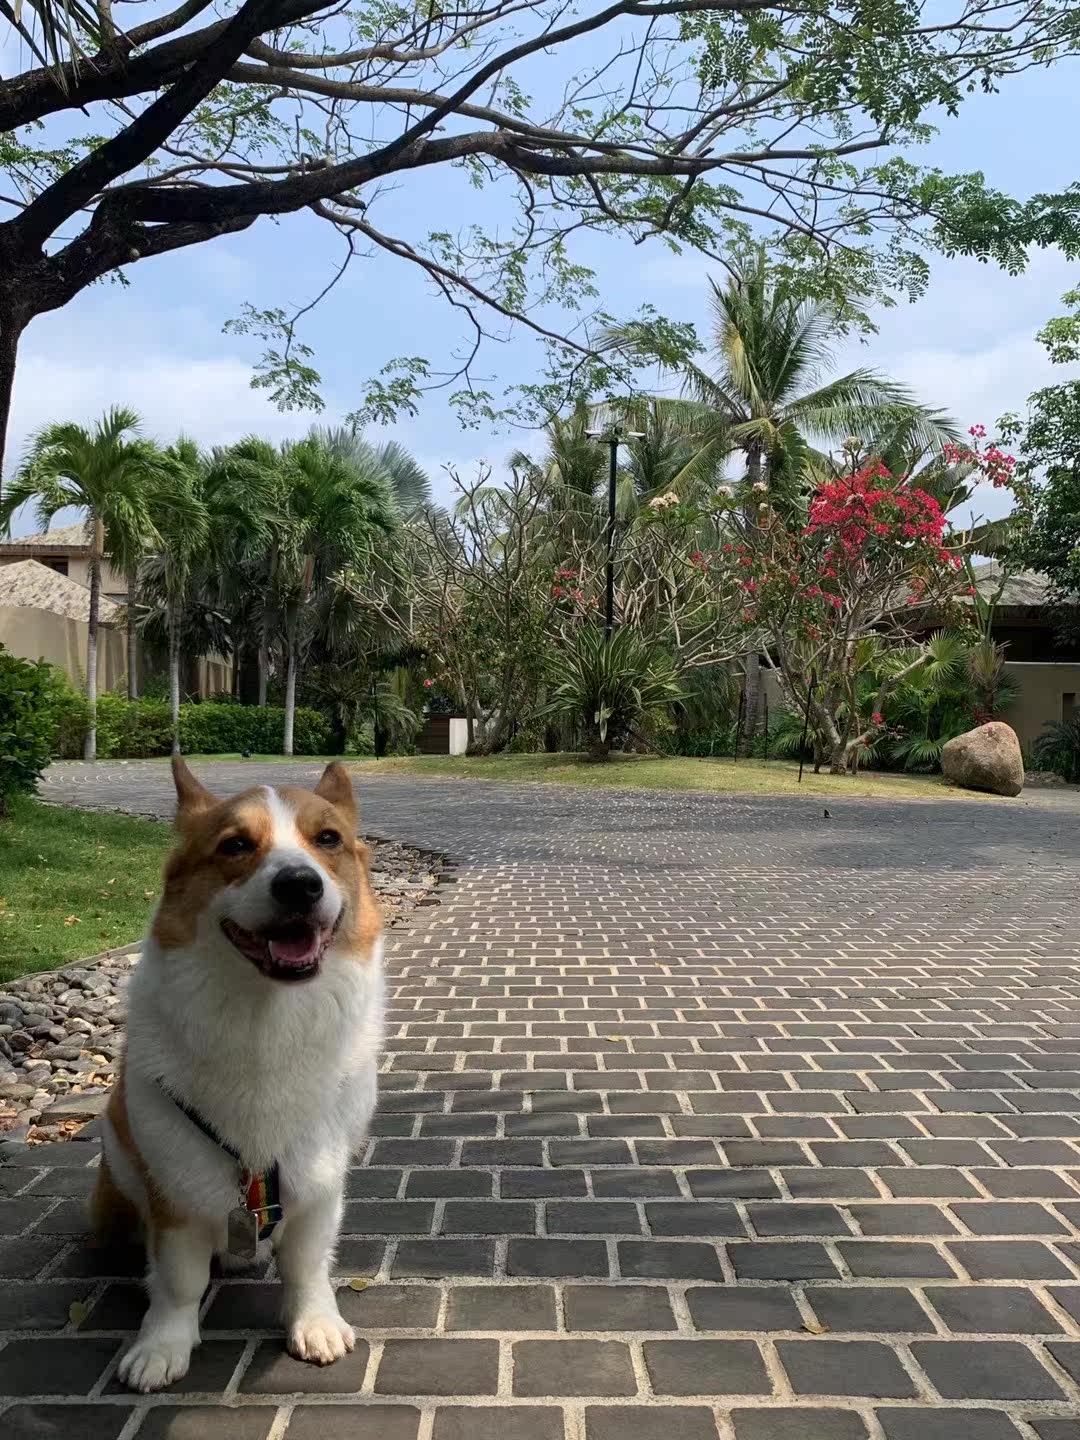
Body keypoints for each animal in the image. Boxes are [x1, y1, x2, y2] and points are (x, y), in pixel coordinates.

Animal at [90, 757, 384, 1393]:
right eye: (236, 845)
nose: (300, 884)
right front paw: (162, 1345)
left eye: (328, 839)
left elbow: (307, 1262)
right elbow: (179, 1279)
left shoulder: (319, 1176)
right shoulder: (175, 1185)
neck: (266, 1018)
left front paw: (314, 1322)